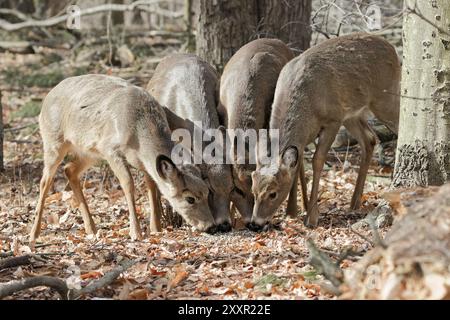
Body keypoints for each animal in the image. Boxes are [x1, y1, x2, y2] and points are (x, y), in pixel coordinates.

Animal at [29, 73, 216, 242]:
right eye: (189, 198)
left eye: (208, 192)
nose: (210, 226)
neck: (138, 131)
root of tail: (47, 98)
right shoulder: (110, 149)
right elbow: (128, 183)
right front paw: (136, 233)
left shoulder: (143, 162)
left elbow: (152, 185)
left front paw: (156, 228)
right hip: (54, 141)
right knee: (45, 181)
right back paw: (34, 234)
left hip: (90, 152)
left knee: (69, 170)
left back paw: (91, 229)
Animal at [250, 33, 400, 230]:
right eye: (253, 190)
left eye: (273, 193)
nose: (255, 223)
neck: (307, 105)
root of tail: (392, 49)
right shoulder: (309, 134)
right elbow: (298, 165)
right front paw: (294, 210)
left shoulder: (332, 120)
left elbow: (317, 160)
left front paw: (311, 217)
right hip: (351, 113)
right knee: (369, 139)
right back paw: (355, 202)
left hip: (385, 99)